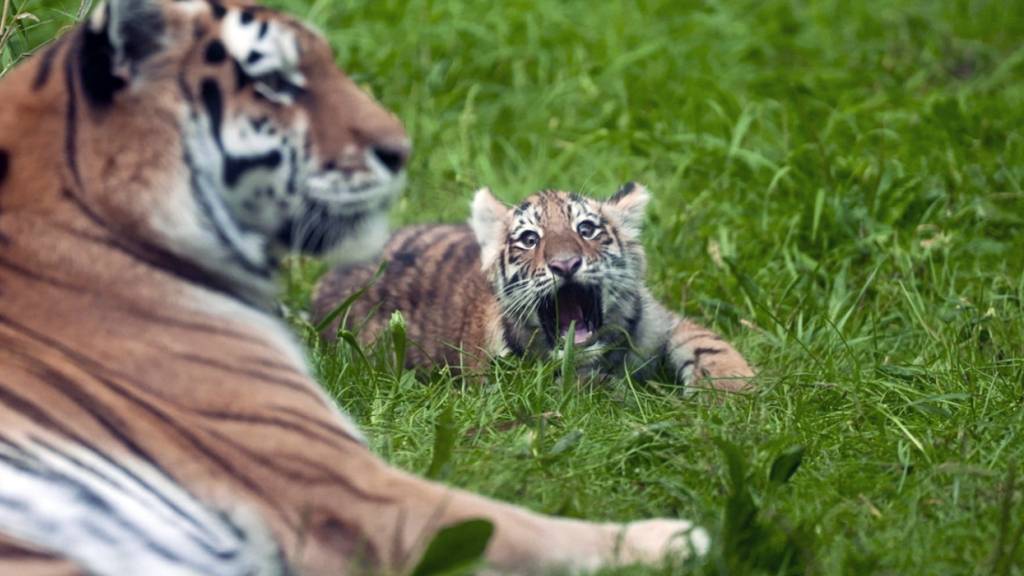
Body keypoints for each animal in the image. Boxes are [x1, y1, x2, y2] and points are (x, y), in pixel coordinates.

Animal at [0, 2, 704, 569]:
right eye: (529, 240)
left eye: (588, 231)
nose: (564, 265)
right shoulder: (338, 480)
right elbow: (529, 525)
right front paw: (679, 539)